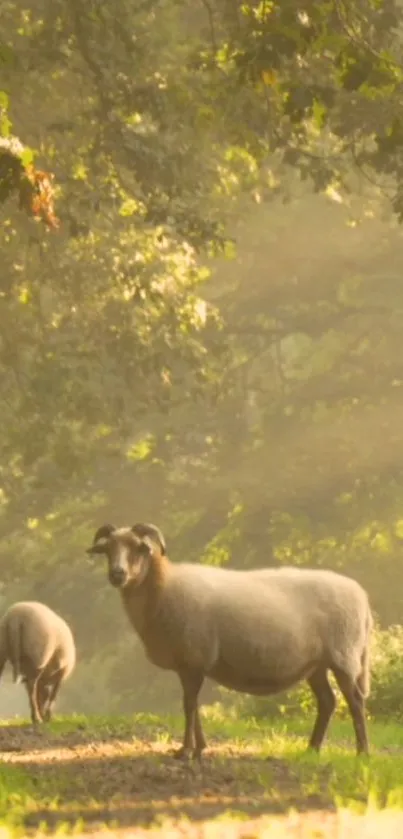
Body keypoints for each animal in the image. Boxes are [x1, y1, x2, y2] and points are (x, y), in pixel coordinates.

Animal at [87, 520, 374, 756]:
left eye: (138, 548)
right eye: (108, 549)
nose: (117, 574)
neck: (163, 586)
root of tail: (362, 597)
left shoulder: (194, 658)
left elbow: (188, 705)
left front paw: (186, 750)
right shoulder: (188, 663)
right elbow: (193, 705)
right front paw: (200, 747)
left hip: (344, 656)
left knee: (355, 700)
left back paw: (362, 752)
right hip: (316, 664)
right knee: (328, 701)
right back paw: (312, 749)